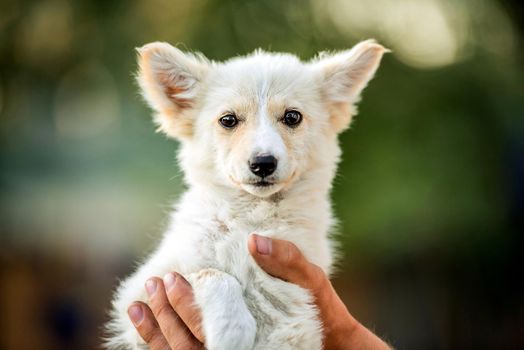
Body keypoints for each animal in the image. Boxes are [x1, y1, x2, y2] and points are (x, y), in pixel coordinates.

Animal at [105, 39, 384, 350]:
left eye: (292, 117)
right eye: (228, 120)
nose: (263, 163)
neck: (254, 216)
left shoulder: (296, 304)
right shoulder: (144, 290)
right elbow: (214, 273)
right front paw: (233, 329)